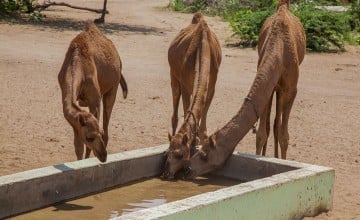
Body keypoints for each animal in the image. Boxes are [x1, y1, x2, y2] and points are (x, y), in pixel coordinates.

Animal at [57, 21, 128, 162]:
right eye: (89, 137)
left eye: (99, 132)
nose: (104, 155)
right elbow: (78, 145)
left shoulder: (95, 99)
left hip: (113, 88)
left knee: (107, 119)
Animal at [162, 12, 221, 179]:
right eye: (166, 154)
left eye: (179, 154)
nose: (165, 174)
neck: (203, 48)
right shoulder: (185, 84)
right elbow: (186, 110)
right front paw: (193, 141)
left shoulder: (211, 86)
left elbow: (203, 126)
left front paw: (197, 142)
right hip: (173, 76)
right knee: (175, 112)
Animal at [184, 0, 306, 178]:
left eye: (205, 155)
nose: (188, 168)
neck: (279, 50)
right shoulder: (268, 87)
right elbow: (261, 134)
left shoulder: (292, 90)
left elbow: (284, 136)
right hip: (275, 89)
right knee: (272, 124)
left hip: (283, 90)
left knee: (278, 125)